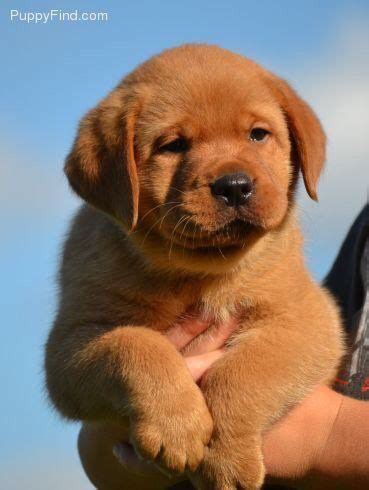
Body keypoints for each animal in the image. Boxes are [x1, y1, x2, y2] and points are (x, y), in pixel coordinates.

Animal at [44, 44, 344, 488]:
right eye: (173, 145)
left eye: (258, 134)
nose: (234, 186)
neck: (200, 272)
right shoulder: (70, 345)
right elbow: (136, 345)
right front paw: (176, 428)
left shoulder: (306, 319)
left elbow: (244, 372)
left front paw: (227, 458)